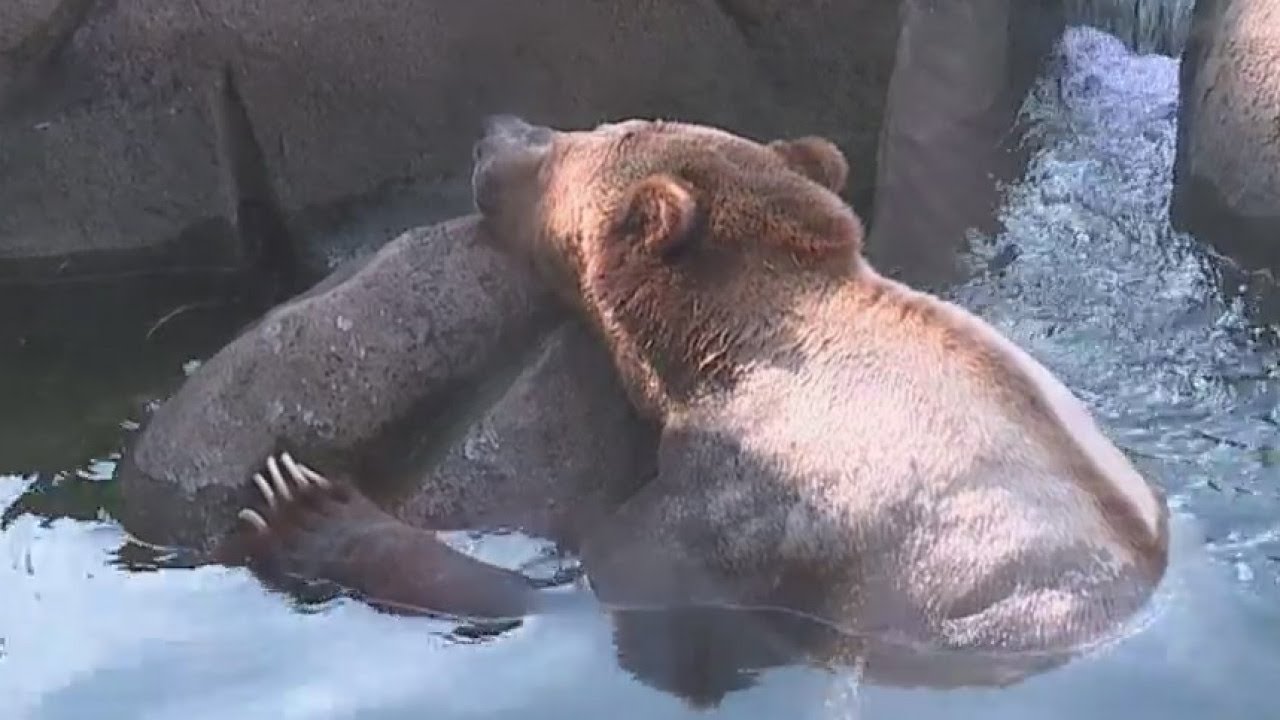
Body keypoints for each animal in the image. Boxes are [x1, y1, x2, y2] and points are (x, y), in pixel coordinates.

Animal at [223, 116, 1170, 694]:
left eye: (565, 149)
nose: (497, 131)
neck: (716, 349)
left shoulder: (750, 499)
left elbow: (606, 584)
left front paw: (307, 506)